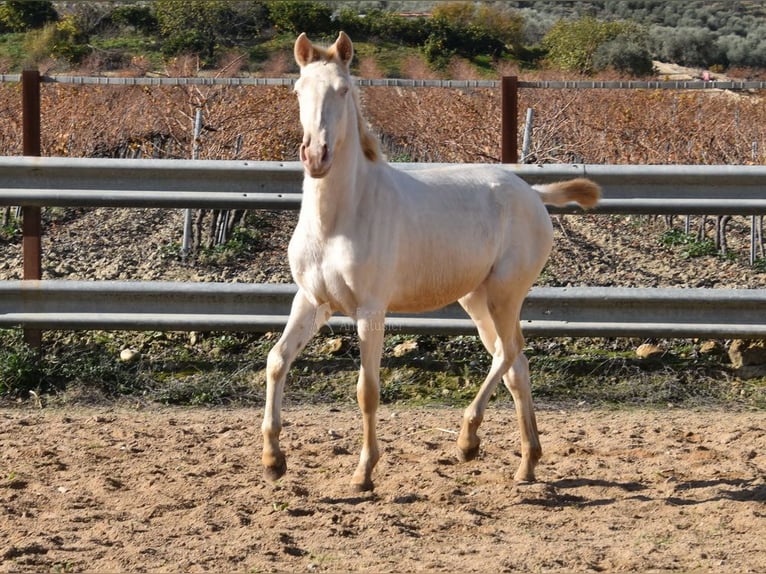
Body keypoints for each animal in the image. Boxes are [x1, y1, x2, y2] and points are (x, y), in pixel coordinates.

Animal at [262, 31, 600, 492]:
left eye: (343, 90)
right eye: (298, 90)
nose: (316, 156)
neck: (339, 220)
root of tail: (532, 193)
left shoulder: (370, 310)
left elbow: (367, 389)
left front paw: (364, 472)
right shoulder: (313, 301)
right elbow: (277, 360)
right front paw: (273, 460)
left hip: (505, 293)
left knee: (509, 351)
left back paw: (468, 440)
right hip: (476, 298)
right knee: (515, 363)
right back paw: (526, 463)